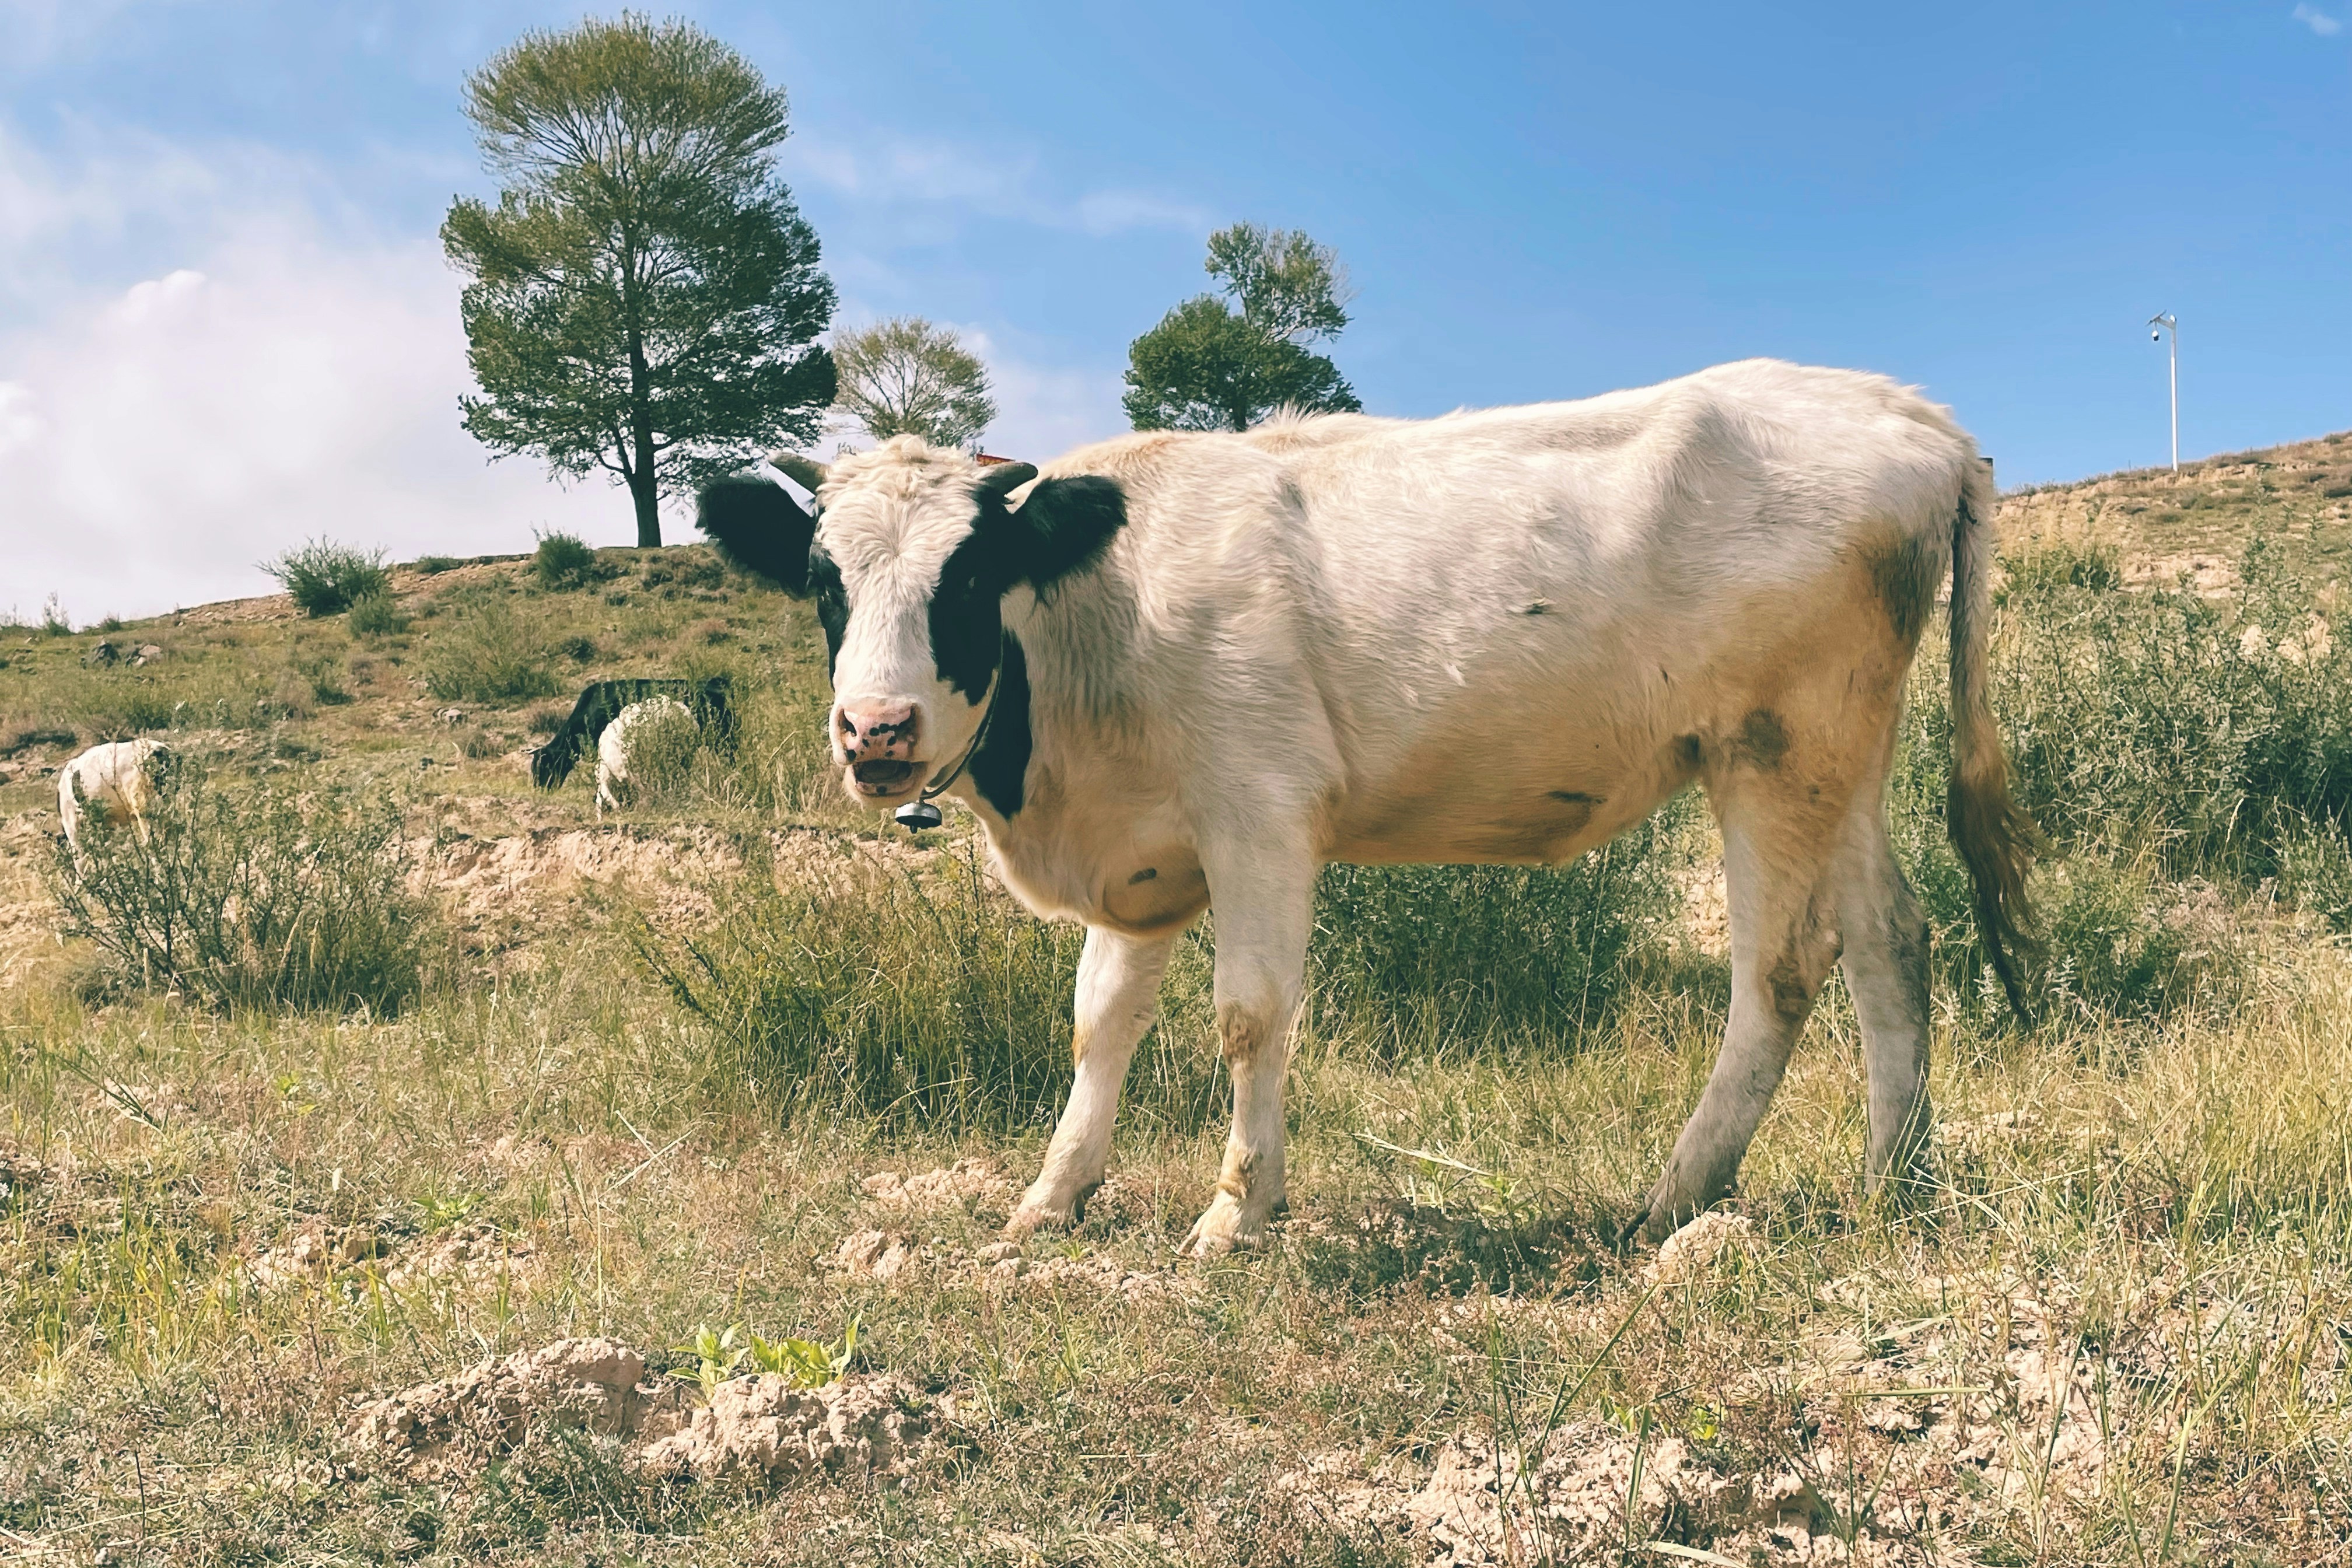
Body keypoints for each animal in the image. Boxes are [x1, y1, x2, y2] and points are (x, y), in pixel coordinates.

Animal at [695, 359, 2041, 1257]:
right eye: (823, 580)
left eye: (970, 576)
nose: (876, 732)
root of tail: (1914, 413)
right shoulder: (1143, 861)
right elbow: (1098, 1026)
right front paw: (1050, 1195)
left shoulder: (1259, 817)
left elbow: (1249, 1019)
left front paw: (1235, 1214)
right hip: (1841, 761)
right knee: (1892, 940)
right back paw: (1892, 1177)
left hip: (1770, 754)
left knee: (1780, 968)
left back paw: (1677, 1195)